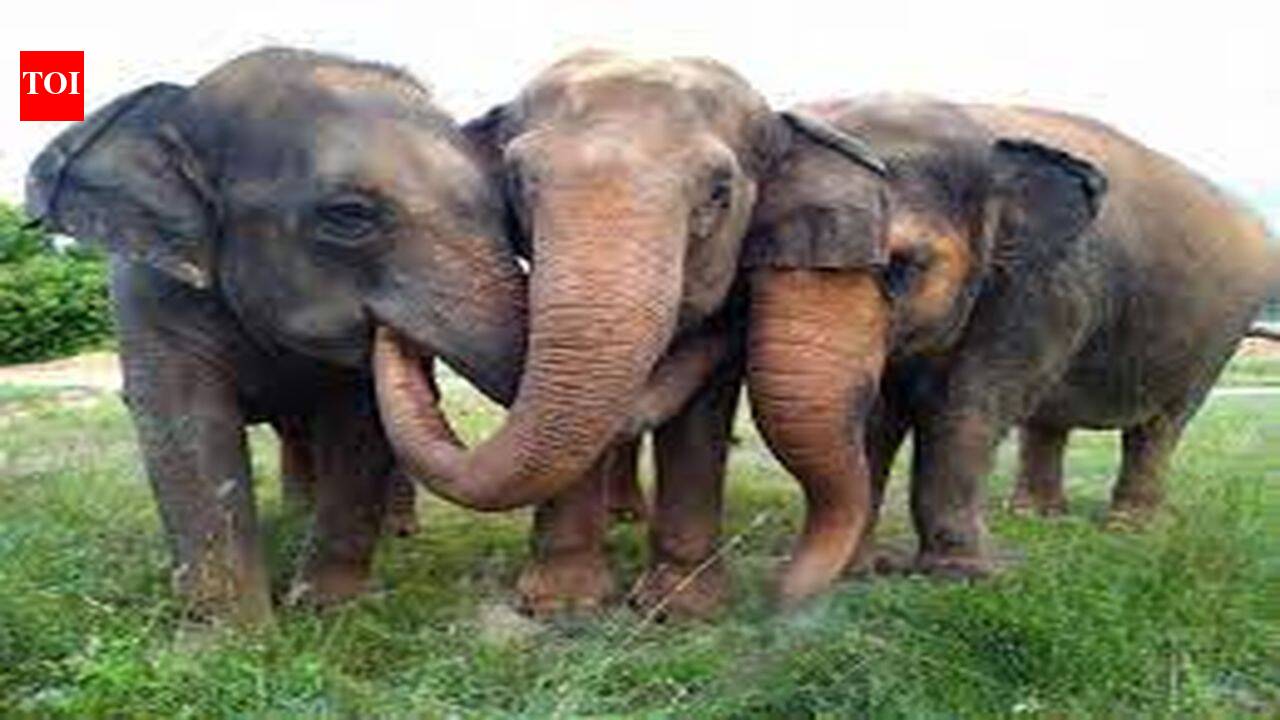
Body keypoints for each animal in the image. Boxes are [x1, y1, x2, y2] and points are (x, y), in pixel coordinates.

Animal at [24, 48, 528, 623]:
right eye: (349, 215)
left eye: (505, 210)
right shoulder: (148, 290)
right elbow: (183, 418)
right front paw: (234, 634)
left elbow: (361, 420)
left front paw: (324, 612)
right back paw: (296, 519)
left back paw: (393, 534)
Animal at [372, 50, 879, 617]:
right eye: (517, 180)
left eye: (720, 192)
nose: (394, 332)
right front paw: (561, 605)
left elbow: (699, 417)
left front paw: (679, 611)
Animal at [741, 97, 1278, 604]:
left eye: (900, 265)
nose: (777, 598)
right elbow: (876, 415)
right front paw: (858, 573)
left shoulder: (1042, 286)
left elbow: (967, 408)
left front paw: (959, 577)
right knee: (1049, 421)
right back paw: (1036, 518)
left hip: (1219, 334)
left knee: (1162, 426)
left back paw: (1129, 528)